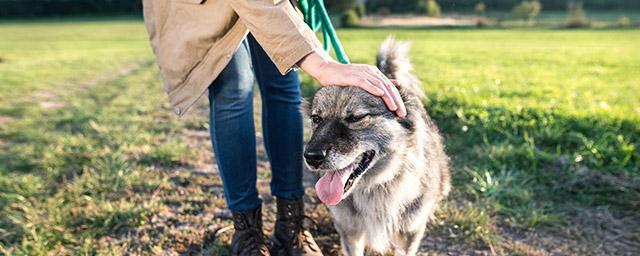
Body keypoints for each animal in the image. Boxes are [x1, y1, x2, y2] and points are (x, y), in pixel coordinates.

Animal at [304, 36, 450, 256]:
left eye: (356, 117)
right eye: (316, 118)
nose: (311, 157)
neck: (377, 186)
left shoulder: (410, 235)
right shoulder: (350, 232)